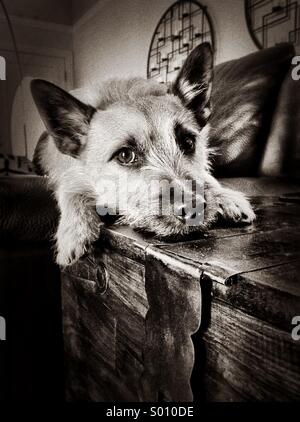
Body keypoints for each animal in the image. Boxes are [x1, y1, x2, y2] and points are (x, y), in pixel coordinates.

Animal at [30, 42, 255, 268]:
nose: (195, 208)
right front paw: (74, 230)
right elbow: (70, 190)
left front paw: (226, 196)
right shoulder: (68, 173)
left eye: (188, 142)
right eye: (125, 155)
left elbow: (208, 177)